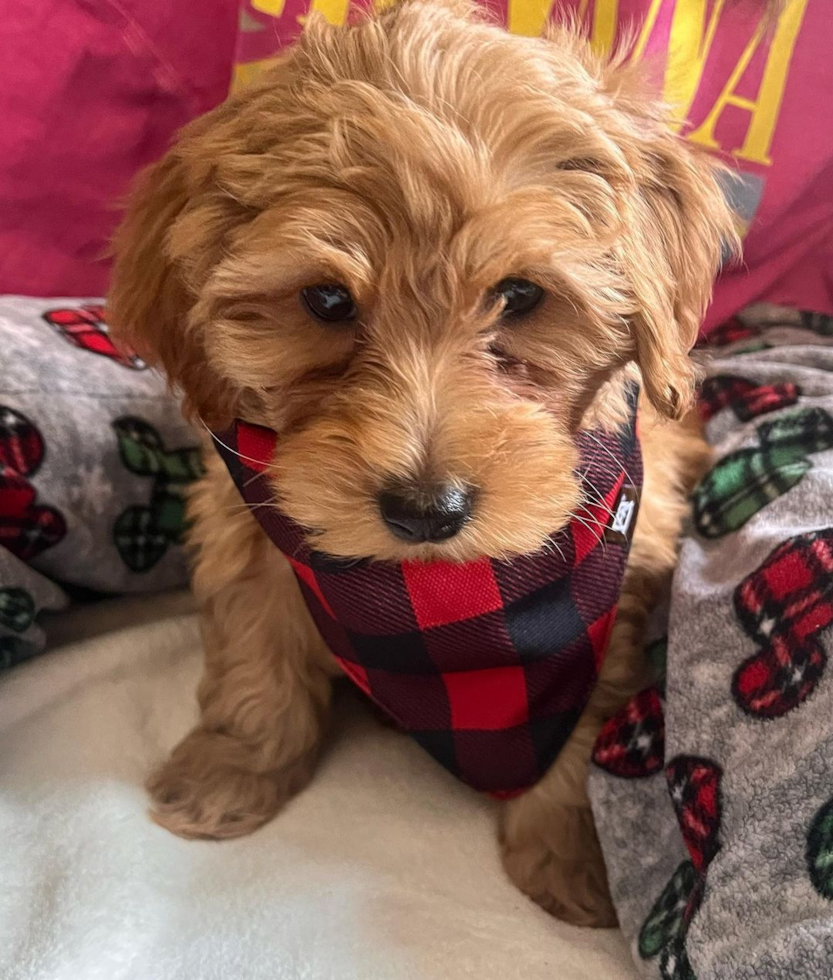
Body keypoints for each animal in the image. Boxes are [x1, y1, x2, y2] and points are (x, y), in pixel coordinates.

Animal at [107, 0, 732, 928]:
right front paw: (228, 774)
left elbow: (580, 726)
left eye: (520, 296)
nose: (425, 511)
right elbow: (256, 656)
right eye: (326, 301)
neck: (436, 605)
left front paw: (567, 857)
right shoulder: (243, 522)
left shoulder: (616, 584)